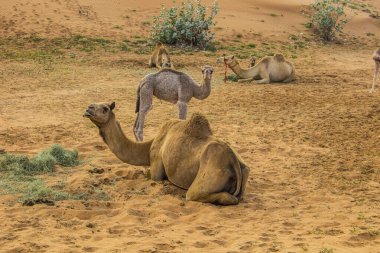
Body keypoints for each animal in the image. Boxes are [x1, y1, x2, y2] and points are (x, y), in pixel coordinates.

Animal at [83, 102, 249, 205]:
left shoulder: (156, 163)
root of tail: (233, 161)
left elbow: (149, 174)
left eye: (105, 108)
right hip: (244, 169)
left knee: (198, 194)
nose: (88, 109)